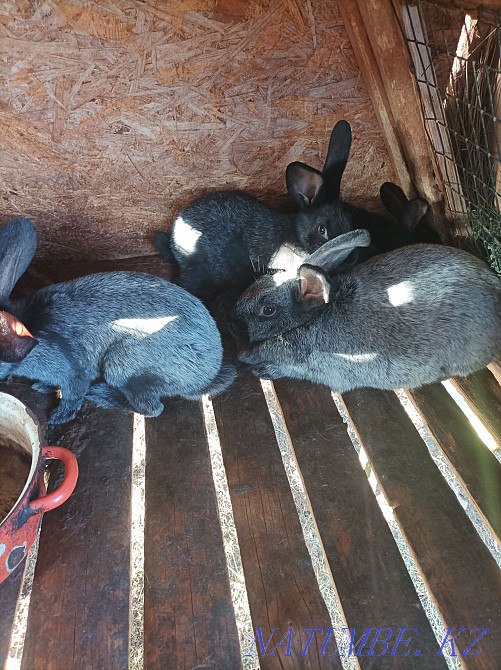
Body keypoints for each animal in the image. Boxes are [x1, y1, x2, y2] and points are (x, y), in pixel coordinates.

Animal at [0, 218, 235, 425]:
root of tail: (208, 377)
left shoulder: (73, 372)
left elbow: (72, 396)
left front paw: (58, 417)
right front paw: (41, 386)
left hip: (121, 365)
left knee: (152, 407)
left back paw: (101, 395)